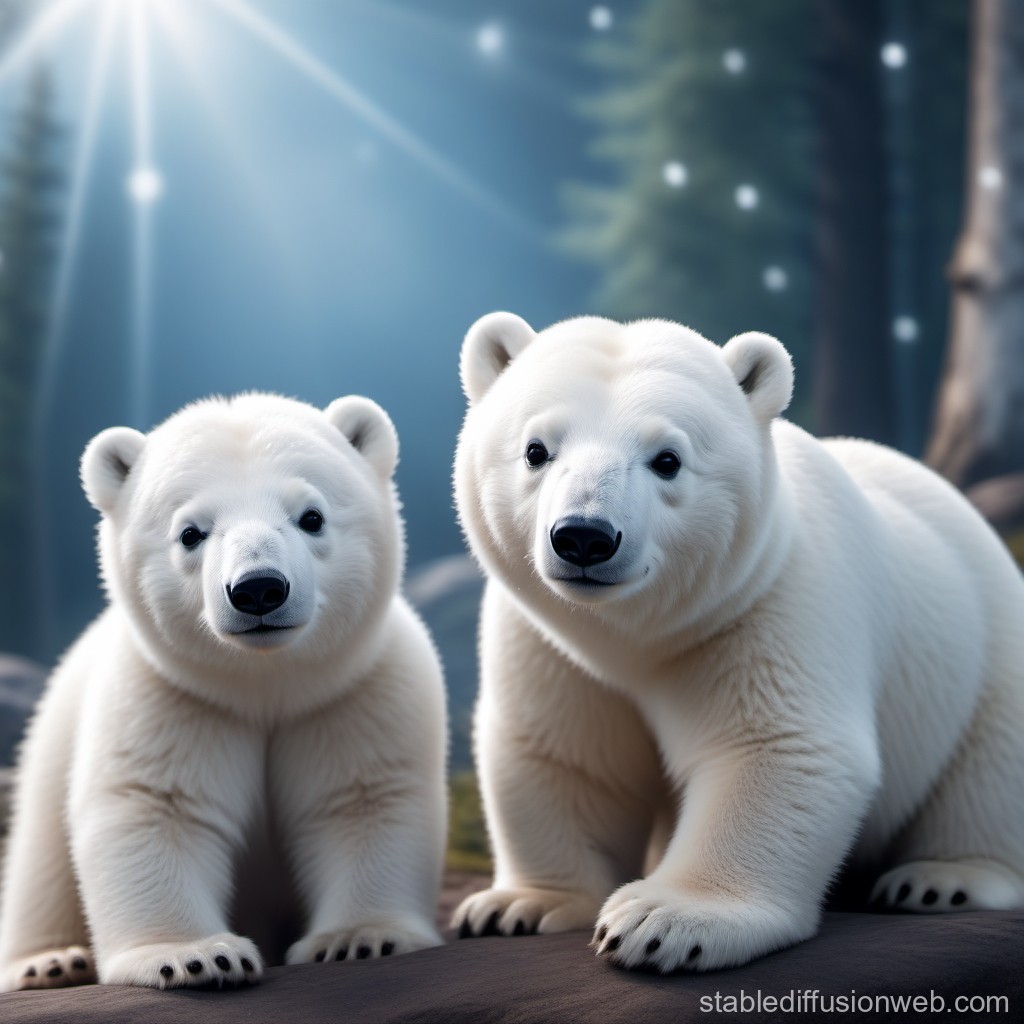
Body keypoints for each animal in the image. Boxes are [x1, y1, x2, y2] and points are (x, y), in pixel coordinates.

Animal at [0, 393, 447, 991]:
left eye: (311, 517)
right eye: (191, 531)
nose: (258, 589)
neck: (265, 684)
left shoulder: (354, 689)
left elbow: (364, 796)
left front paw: (360, 939)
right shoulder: (174, 695)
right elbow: (158, 807)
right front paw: (195, 956)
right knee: (40, 862)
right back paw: (49, 963)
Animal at [451, 312, 1024, 973]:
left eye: (667, 459)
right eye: (535, 450)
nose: (585, 538)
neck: (633, 634)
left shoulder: (767, 600)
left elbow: (774, 747)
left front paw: (660, 920)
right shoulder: (548, 641)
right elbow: (567, 756)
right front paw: (518, 906)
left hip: (985, 650)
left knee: (989, 769)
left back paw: (942, 878)